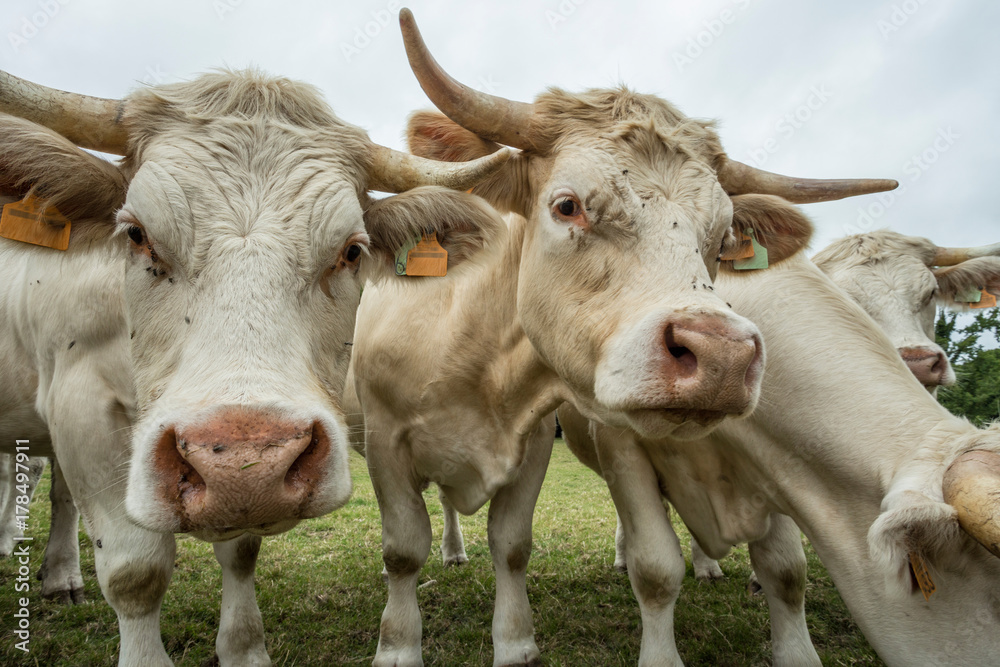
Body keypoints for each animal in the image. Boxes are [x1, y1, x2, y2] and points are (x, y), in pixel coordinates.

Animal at [0, 69, 512, 667]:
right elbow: (135, 573)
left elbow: (240, 553)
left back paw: (59, 577)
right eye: (136, 234)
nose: (245, 462)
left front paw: (243, 648)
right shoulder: (81, 404)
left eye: (352, 251)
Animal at [354, 11, 900, 667]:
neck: (468, 356)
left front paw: (515, 642)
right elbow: (403, 550)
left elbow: (511, 544)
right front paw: (398, 646)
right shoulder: (384, 442)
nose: (722, 355)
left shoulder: (534, 446)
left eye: (723, 239)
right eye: (567, 205)